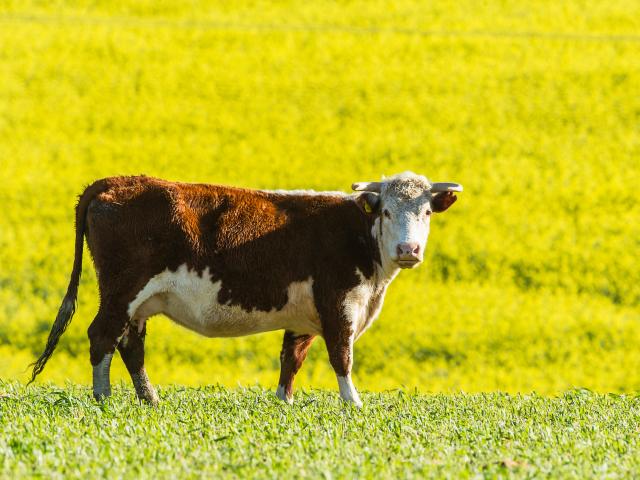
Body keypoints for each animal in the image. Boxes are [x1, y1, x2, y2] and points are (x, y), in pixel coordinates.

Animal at [29, 171, 462, 407]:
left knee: (130, 345)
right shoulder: (338, 303)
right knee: (102, 336)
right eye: (386, 211)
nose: (409, 250)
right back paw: (103, 399)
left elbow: (291, 360)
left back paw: (150, 400)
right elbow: (342, 357)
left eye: (426, 212)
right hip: (122, 290)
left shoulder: (303, 315)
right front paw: (353, 404)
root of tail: (116, 182)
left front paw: (284, 403)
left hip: (139, 302)